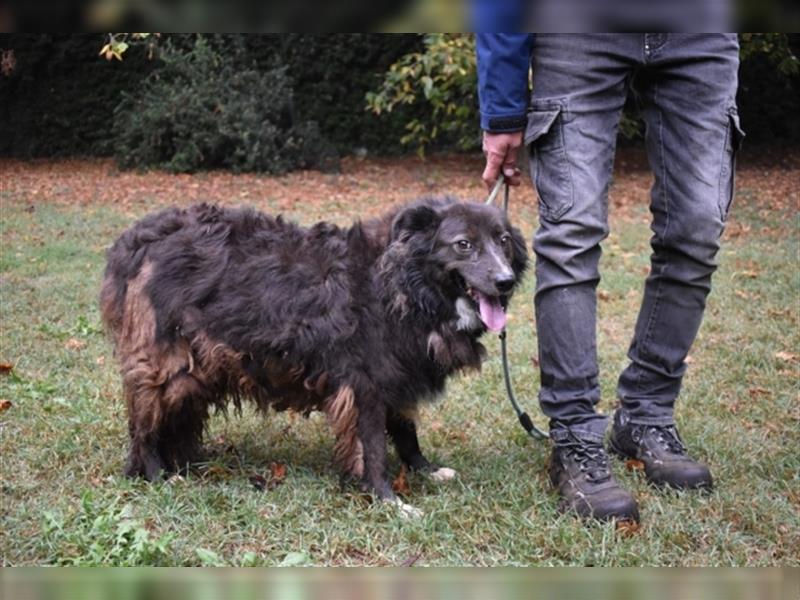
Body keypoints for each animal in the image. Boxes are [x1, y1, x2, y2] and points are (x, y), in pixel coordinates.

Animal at [101, 199, 524, 512]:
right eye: (463, 244)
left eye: (503, 241)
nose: (504, 281)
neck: (402, 284)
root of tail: (139, 238)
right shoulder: (364, 384)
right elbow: (372, 447)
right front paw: (387, 500)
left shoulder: (399, 373)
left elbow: (406, 431)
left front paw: (423, 469)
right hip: (168, 361)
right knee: (144, 422)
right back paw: (157, 472)